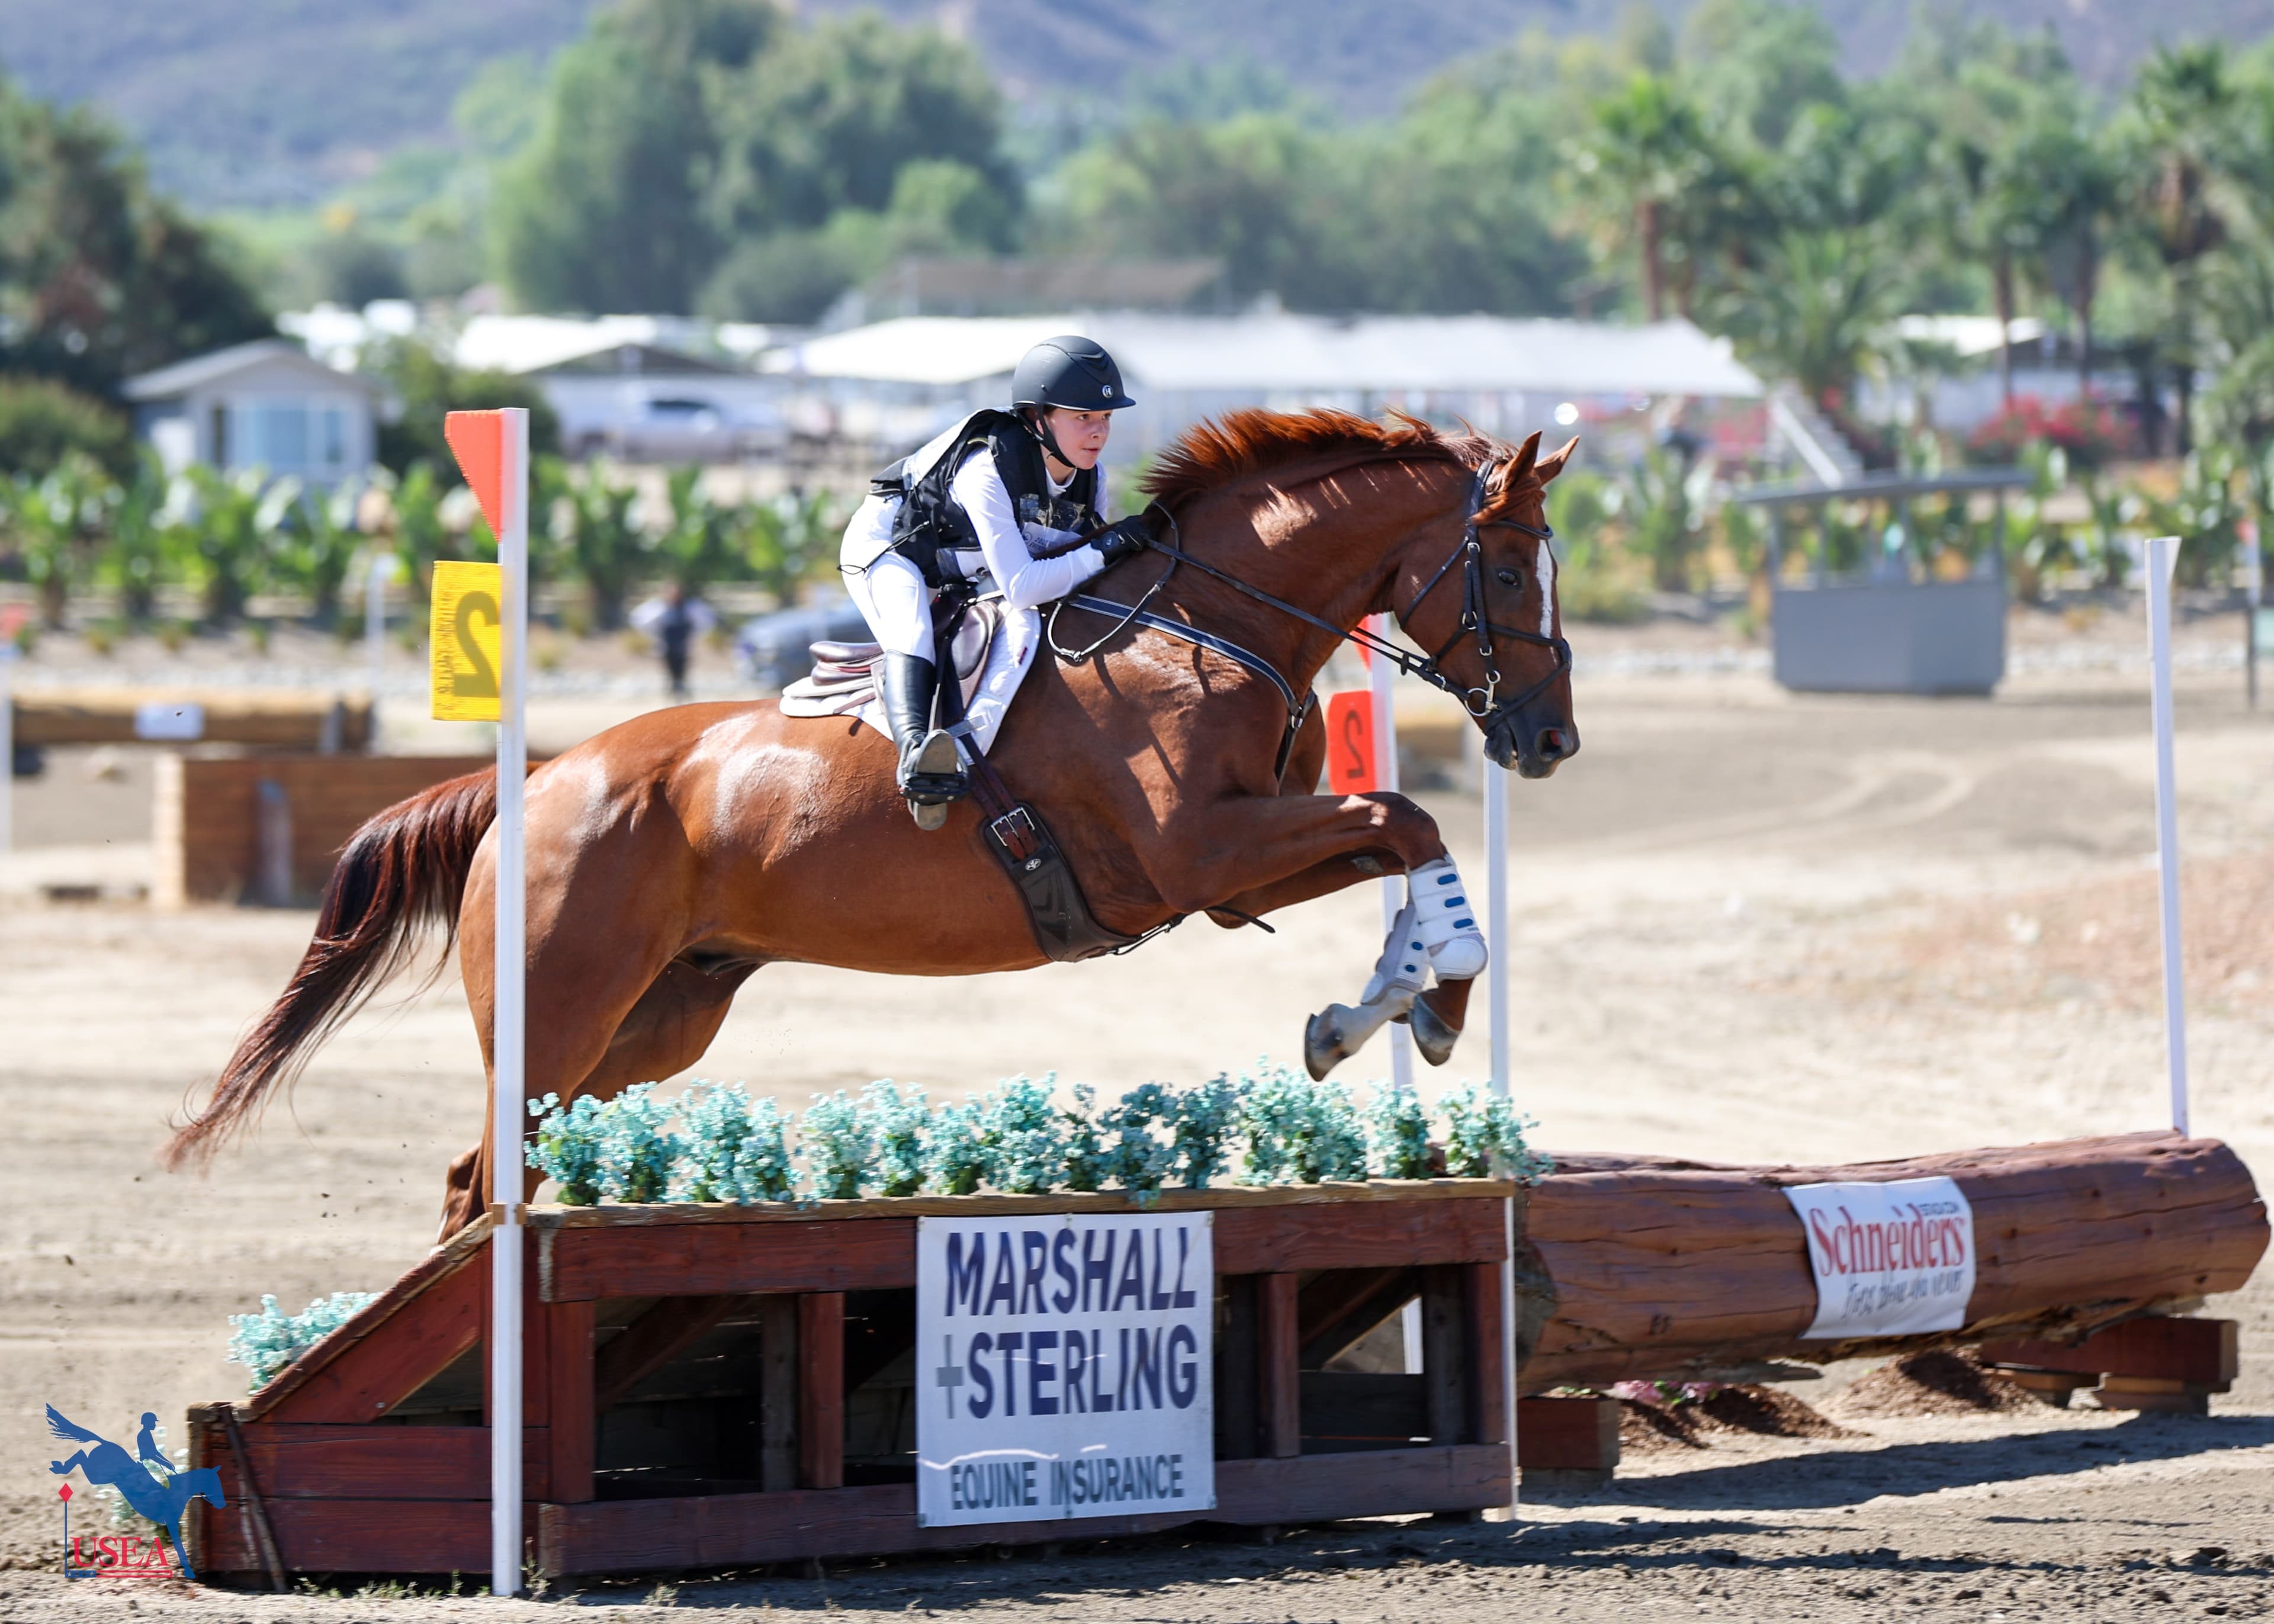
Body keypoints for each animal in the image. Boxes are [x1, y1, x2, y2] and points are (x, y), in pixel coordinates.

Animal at [48, 1405, 226, 1581]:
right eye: (214, 1484)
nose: (222, 1505)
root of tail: (105, 1442)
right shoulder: (171, 1522)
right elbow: (179, 1547)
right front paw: (188, 1572)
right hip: (99, 1476)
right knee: (80, 1455)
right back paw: (59, 1468)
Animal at [165, 409, 1579, 1239]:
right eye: (1510, 570)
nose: (1550, 741)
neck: (1206, 625)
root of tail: (536, 785)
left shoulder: (1236, 869)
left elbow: (1398, 835)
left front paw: (1387, 1011)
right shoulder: (1199, 851)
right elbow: (1404, 813)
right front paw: (1428, 994)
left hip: (654, 1024)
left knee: (512, 1167)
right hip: (557, 1018)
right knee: (483, 1179)